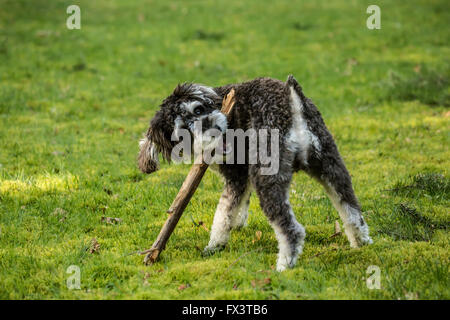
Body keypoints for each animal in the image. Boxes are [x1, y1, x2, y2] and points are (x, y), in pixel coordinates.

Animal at [138, 76, 372, 272]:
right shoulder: (244, 177)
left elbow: (222, 213)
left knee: (291, 229)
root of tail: (292, 104)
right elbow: (239, 205)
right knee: (351, 210)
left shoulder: (236, 176)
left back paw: (284, 264)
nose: (209, 125)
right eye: (183, 131)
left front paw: (215, 245)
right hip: (329, 164)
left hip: (268, 177)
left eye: (198, 110)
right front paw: (238, 224)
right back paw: (361, 243)